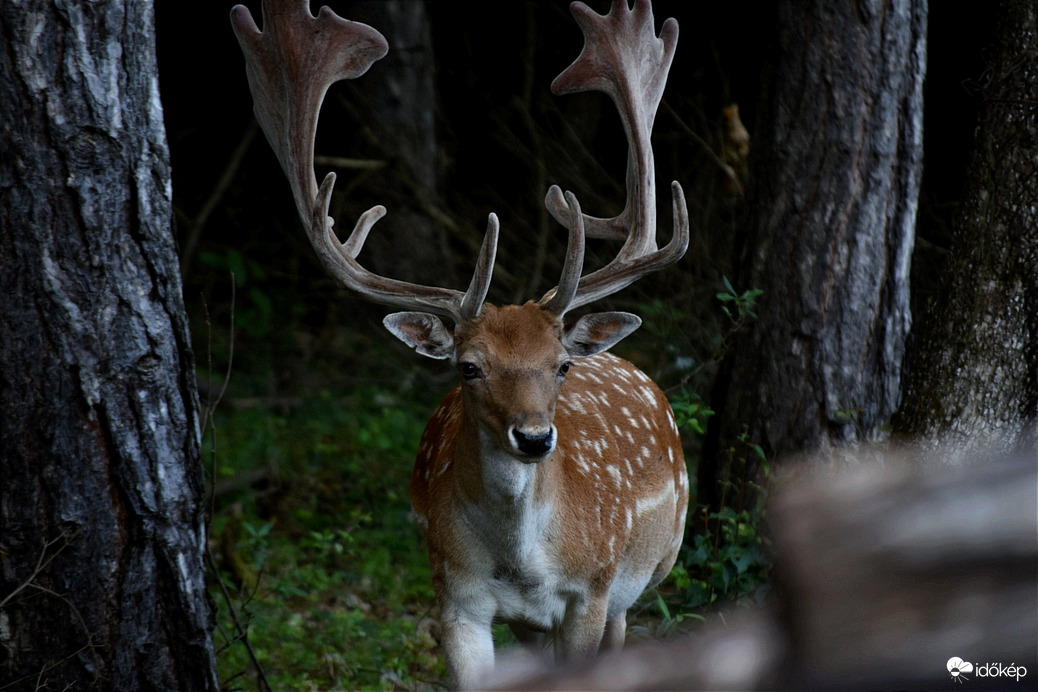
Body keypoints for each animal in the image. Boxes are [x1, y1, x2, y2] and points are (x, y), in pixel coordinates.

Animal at [231, 0, 693, 688]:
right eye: (469, 368)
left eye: (560, 366)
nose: (534, 438)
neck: (523, 568)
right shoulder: (456, 599)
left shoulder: (590, 592)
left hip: (644, 571)